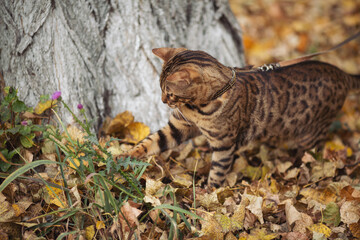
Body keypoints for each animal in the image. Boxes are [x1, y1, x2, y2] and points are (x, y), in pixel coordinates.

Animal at [124, 47, 360, 188]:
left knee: (314, 154)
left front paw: (207, 196)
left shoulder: (224, 144)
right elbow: (150, 142)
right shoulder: (178, 127)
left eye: (169, 92)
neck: (197, 108)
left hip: (310, 134)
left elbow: (217, 172)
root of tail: (343, 74)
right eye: (161, 90)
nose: (163, 100)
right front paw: (125, 155)